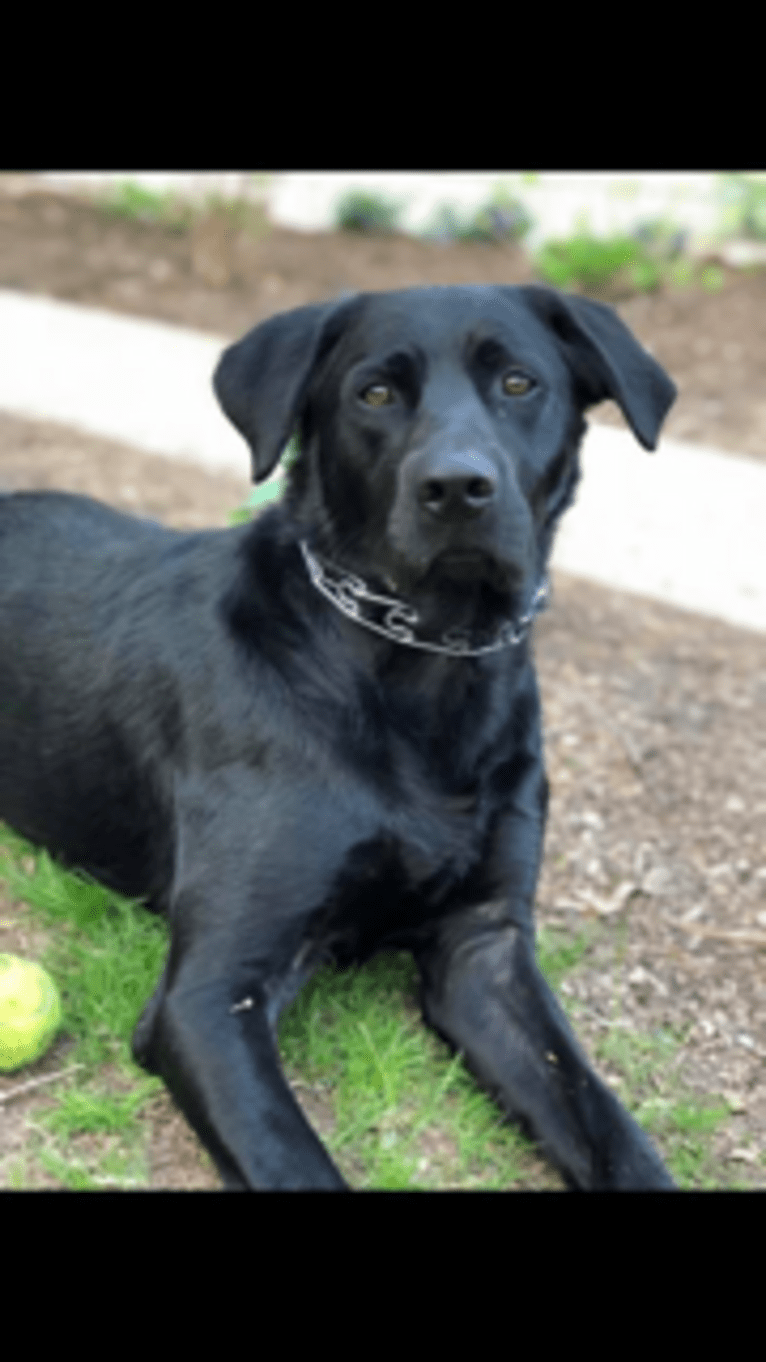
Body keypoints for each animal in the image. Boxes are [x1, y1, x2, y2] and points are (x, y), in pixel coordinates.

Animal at [0, 290, 670, 1193]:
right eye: (375, 394)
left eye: (519, 382)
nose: (457, 488)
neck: (424, 667)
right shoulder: (209, 998)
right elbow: (295, 1162)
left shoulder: (485, 949)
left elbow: (610, 1128)